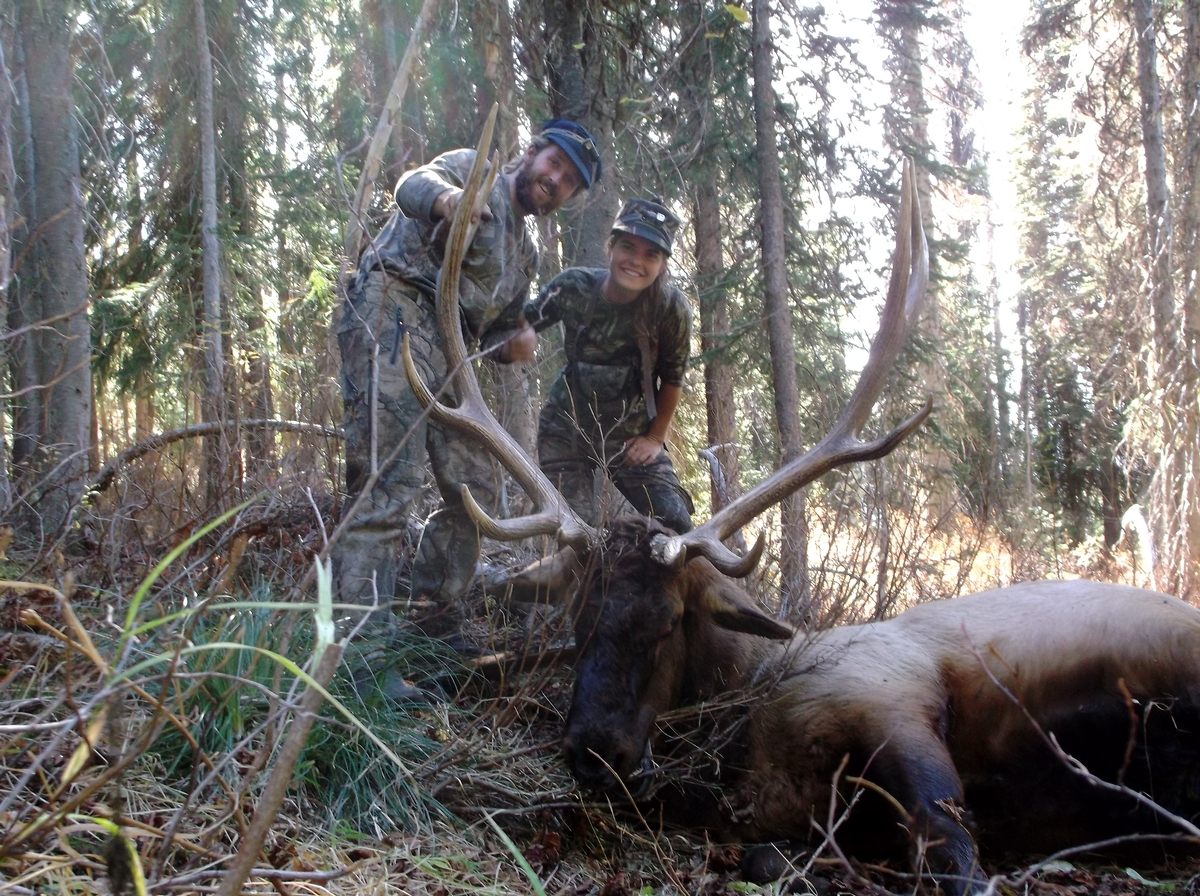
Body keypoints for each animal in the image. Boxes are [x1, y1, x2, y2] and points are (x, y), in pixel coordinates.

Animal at [400, 115, 1200, 892]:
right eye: (577, 615)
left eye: (670, 620)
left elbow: (956, 861)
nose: (593, 753)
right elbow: (772, 856)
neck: (749, 734)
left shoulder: (889, 697)